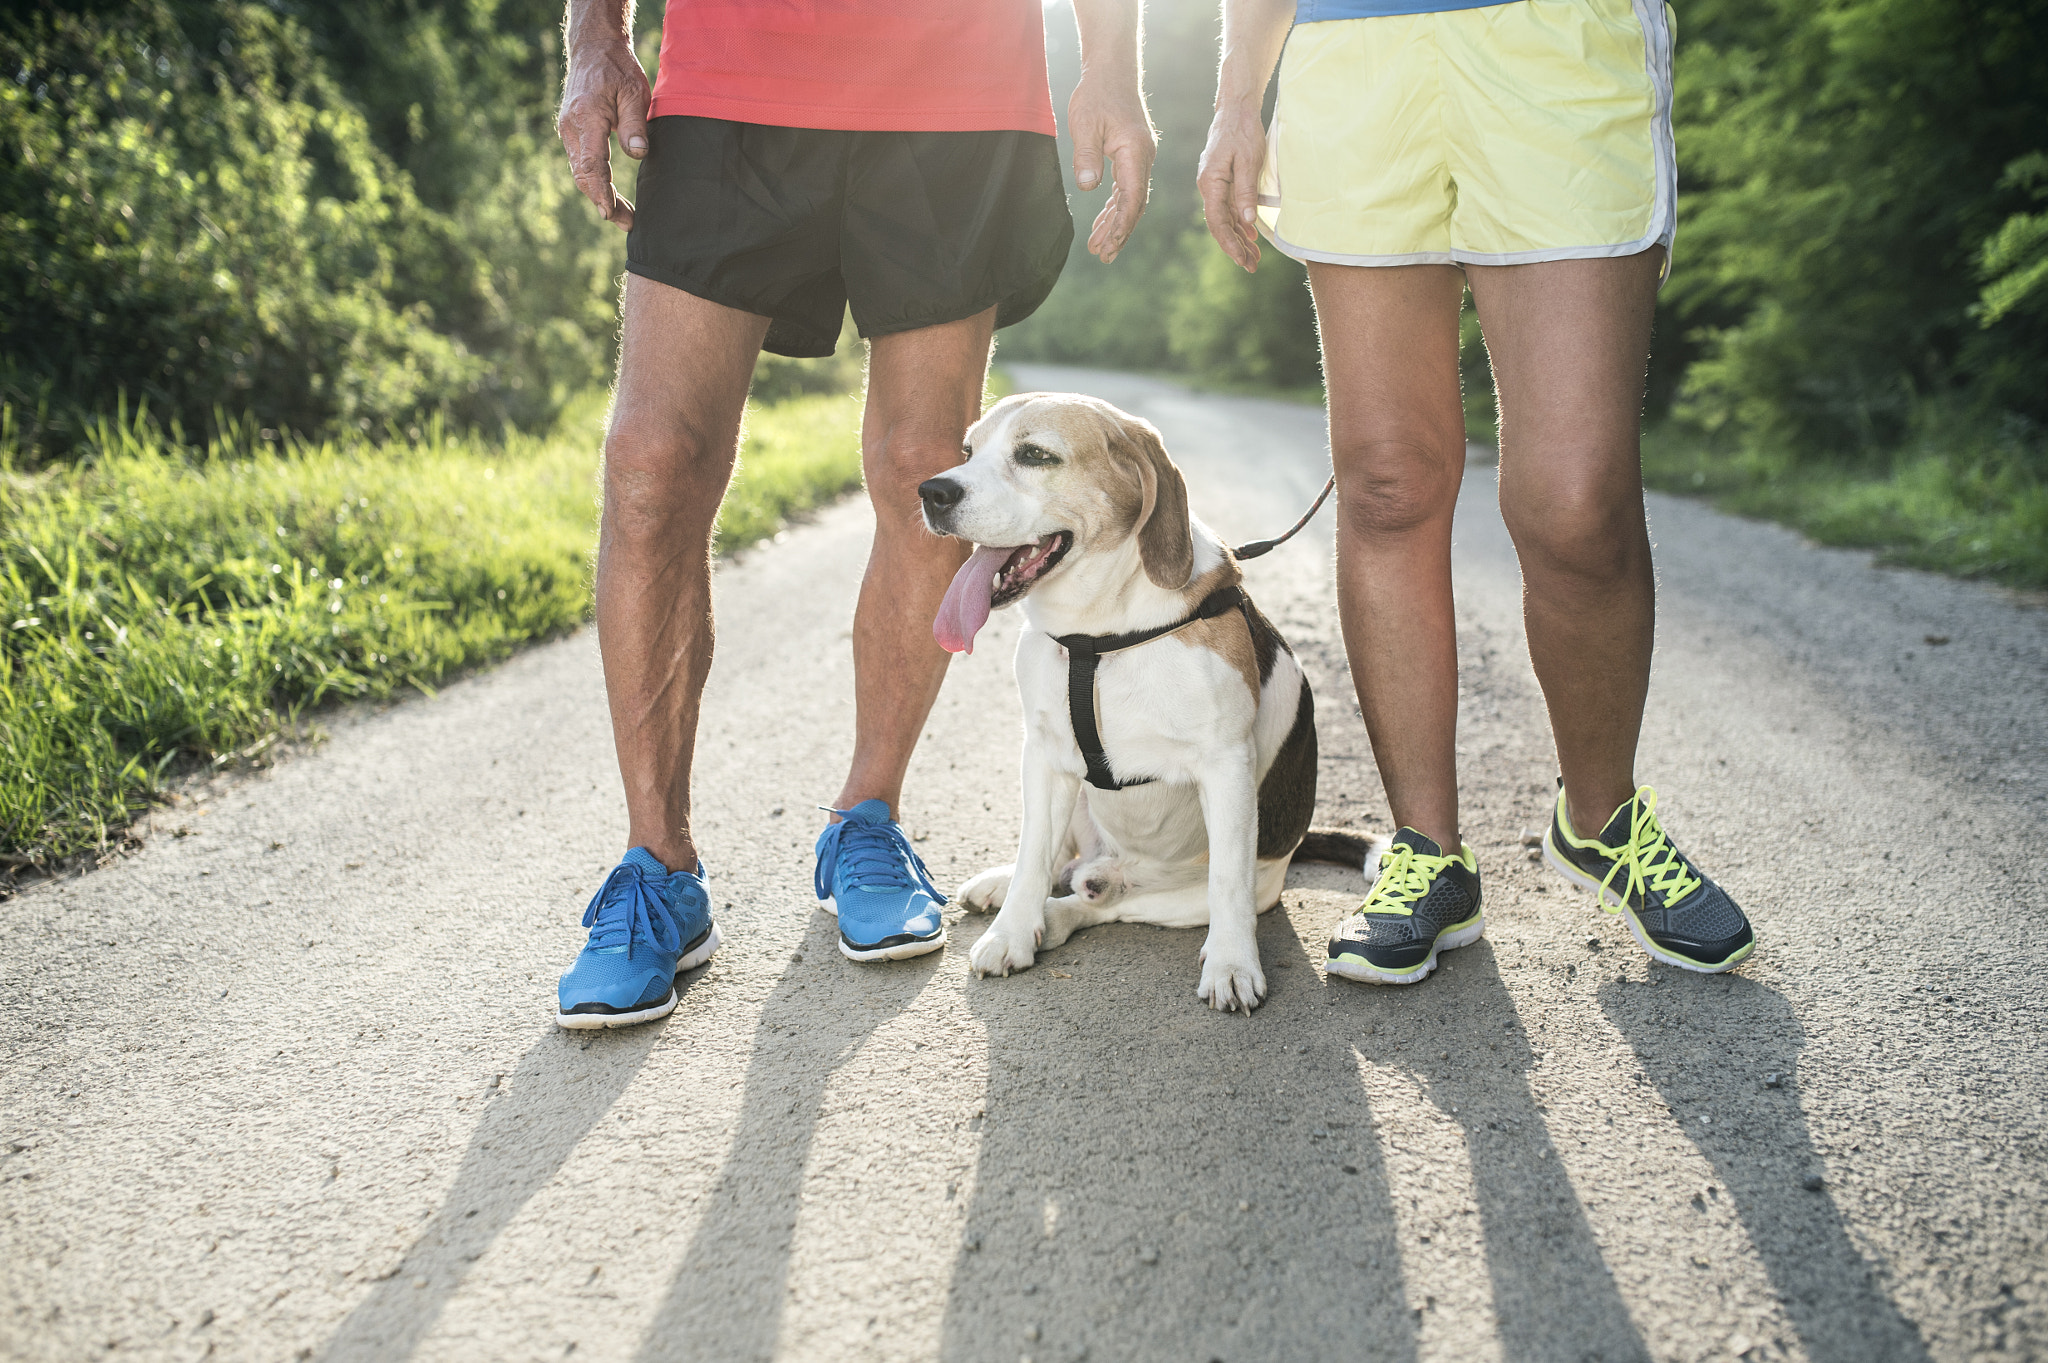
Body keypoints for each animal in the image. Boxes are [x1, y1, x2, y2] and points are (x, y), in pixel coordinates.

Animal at [921, 386, 1368, 1002]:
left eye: (1035, 455)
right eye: (968, 451)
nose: (931, 492)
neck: (1101, 633)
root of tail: (1113, 865)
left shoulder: (1226, 766)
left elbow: (1227, 882)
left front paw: (1232, 966)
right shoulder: (1043, 756)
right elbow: (1033, 856)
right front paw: (1010, 934)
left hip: (1206, 895)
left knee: (1108, 906)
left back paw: (1063, 914)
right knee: (1059, 862)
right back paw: (1010, 890)